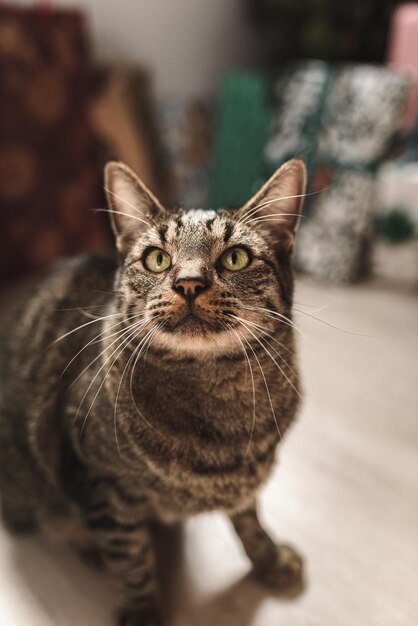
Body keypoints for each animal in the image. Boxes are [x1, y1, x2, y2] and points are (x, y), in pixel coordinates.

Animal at [0, 158, 306, 624]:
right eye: (157, 259)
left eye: (235, 258)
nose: (189, 283)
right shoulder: (99, 482)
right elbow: (131, 556)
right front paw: (141, 609)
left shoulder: (245, 475)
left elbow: (250, 520)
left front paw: (269, 560)